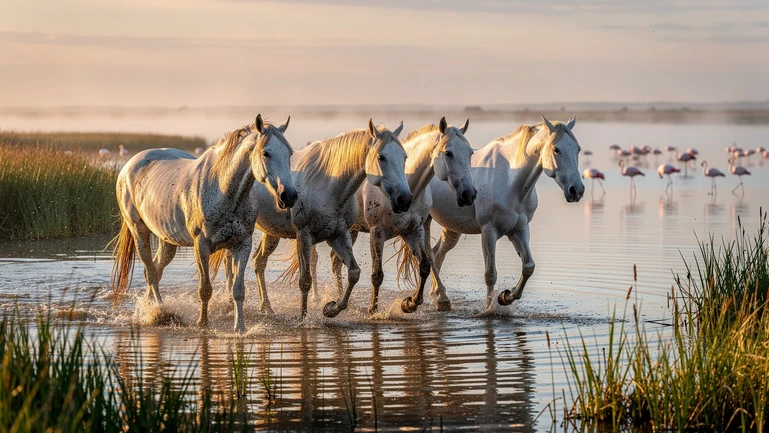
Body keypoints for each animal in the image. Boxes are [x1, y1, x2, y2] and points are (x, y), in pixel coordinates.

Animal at [111, 115, 296, 334]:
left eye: (289, 153)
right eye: (266, 153)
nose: (289, 196)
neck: (224, 190)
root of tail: (129, 166)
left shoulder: (242, 244)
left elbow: (238, 289)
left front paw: (240, 328)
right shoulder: (201, 245)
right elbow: (205, 289)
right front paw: (203, 324)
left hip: (167, 241)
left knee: (155, 269)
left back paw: (151, 307)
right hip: (139, 232)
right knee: (151, 272)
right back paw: (161, 311)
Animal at [213, 119, 411, 319]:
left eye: (404, 157)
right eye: (381, 157)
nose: (404, 198)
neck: (329, 186)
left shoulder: (339, 235)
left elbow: (354, 272)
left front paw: (332, 308)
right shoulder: (304, 236)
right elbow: (305, 280)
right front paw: (302, 319)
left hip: (271, 233)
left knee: (258, 262)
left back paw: (266, 307)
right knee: (231, 262)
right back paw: (230, 304)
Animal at [317, 117, 476, 315]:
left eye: (470, 153)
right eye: (448, 153)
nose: (468, 194)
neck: (408, 187)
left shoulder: (414, 230)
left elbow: (424, 266)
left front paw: (409, 303)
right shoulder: (377, 233)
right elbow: (377, 274)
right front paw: (373, 310)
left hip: (351, 230)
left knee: (336, 261)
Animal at [416, 115, 584, 311]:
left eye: (578, 149)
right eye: (556, 149)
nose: (577, 190)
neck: (511, 182)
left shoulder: (519, 230)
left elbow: (528, 266)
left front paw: (506, 297)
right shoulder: (489, 232)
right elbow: (490, 274)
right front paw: (489, 309)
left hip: (452, 228)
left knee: (437, 254)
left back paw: (438, 295)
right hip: (425, 221)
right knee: (430, 255)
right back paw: (441, 297)